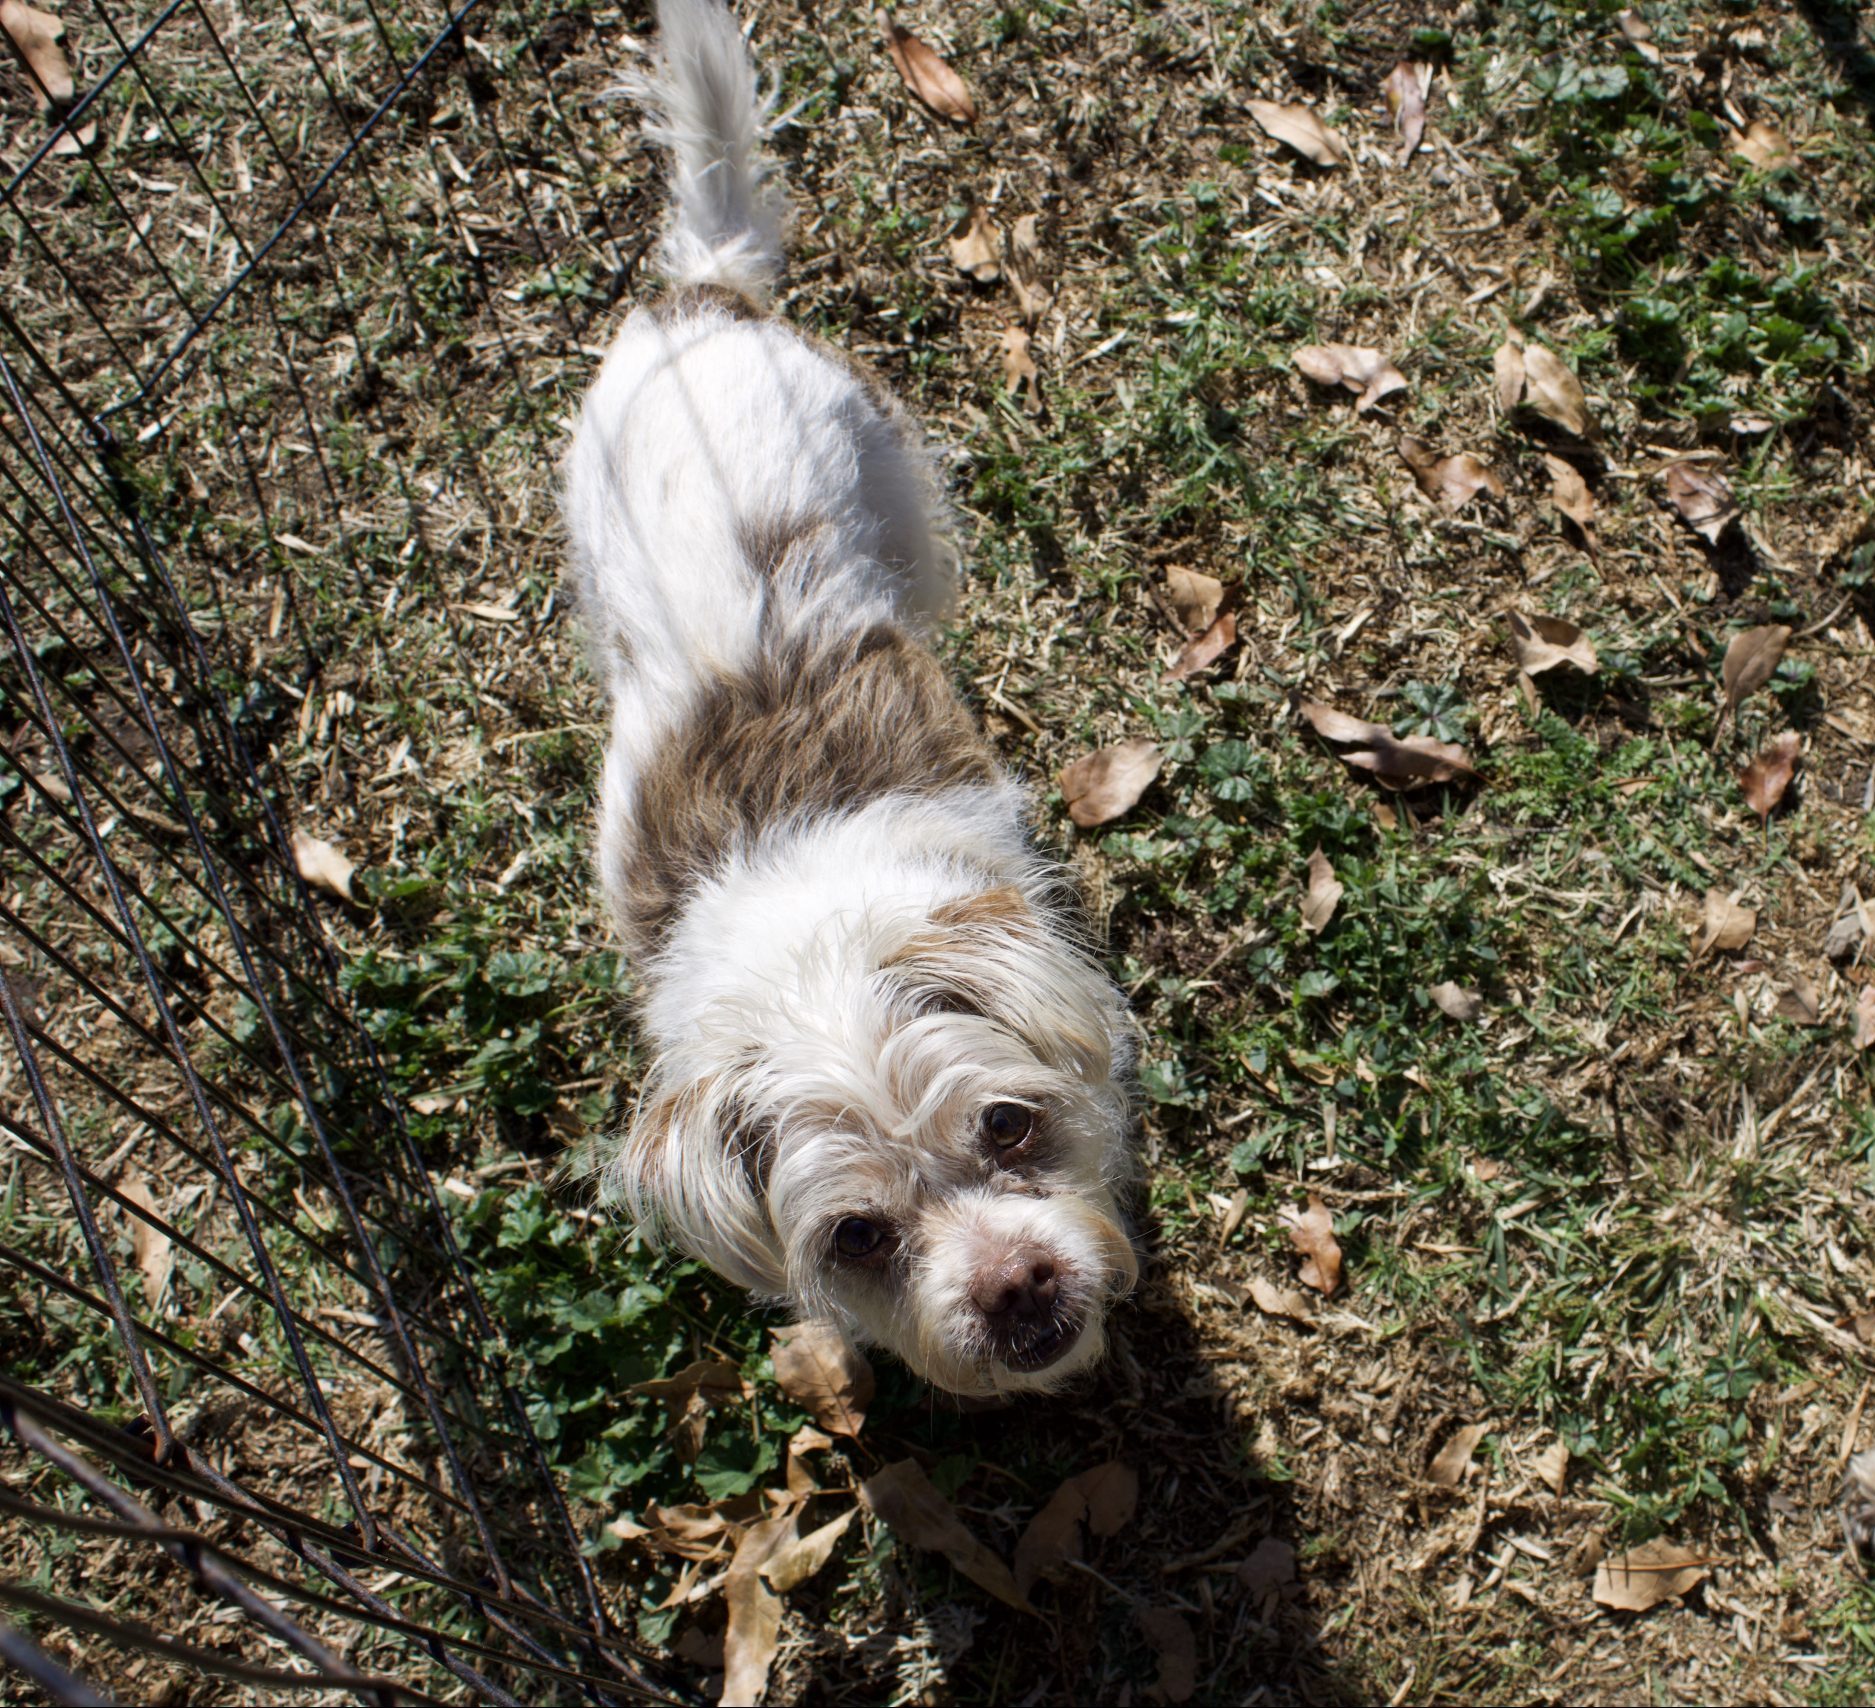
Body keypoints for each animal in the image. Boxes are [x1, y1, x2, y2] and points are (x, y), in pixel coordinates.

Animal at [562, 0, 1132, 1394]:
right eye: (859, 1235)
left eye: (1009, 1124)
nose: (1018, 1284)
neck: (808, 950)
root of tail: (700, 297)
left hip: (897, 488)